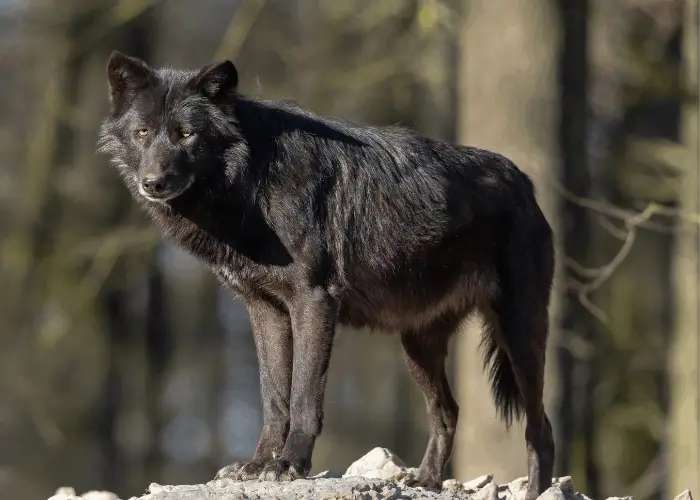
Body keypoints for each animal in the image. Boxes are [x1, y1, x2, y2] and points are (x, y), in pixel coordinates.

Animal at [98, 51, 556, 500]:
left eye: (186, 134)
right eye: (142, 132)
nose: (152, 183)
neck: (253, 181)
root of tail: (525, 183)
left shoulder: (314, 301)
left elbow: (303, 394)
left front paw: (290, 464)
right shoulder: (265, 310)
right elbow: (274, 396)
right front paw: (258, 464)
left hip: (519, 338)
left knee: (540, 425)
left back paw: (536, 490)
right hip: (418, 347)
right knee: (447, 412)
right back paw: (425, 481)